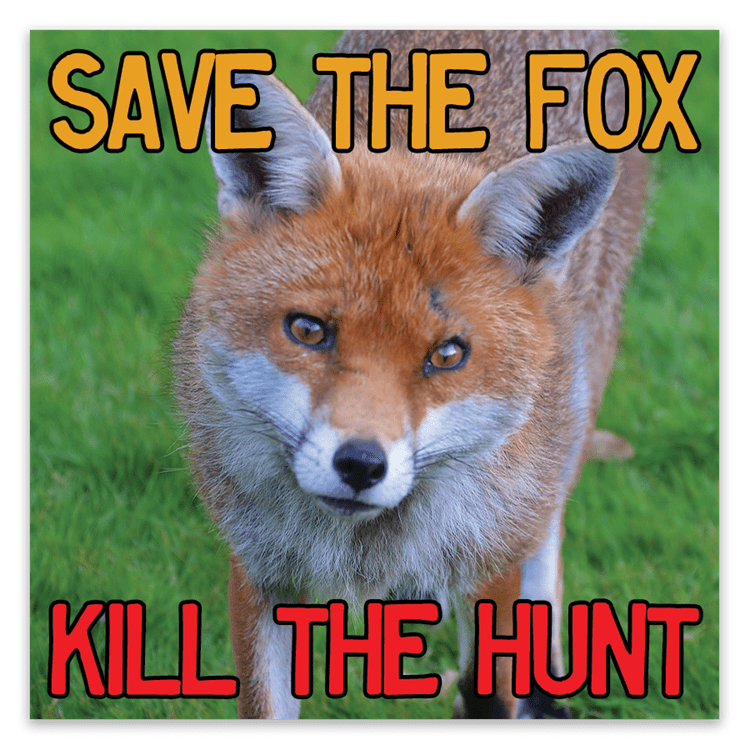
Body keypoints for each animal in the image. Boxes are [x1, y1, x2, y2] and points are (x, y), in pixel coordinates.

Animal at [174, 29, 647, 720]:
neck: (370, 552)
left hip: (568, 420)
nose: (360, 464)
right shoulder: (258, 569)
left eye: (447, 355)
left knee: (548, 534)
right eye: (308, 330)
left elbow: (489, 688)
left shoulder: (492, 563)